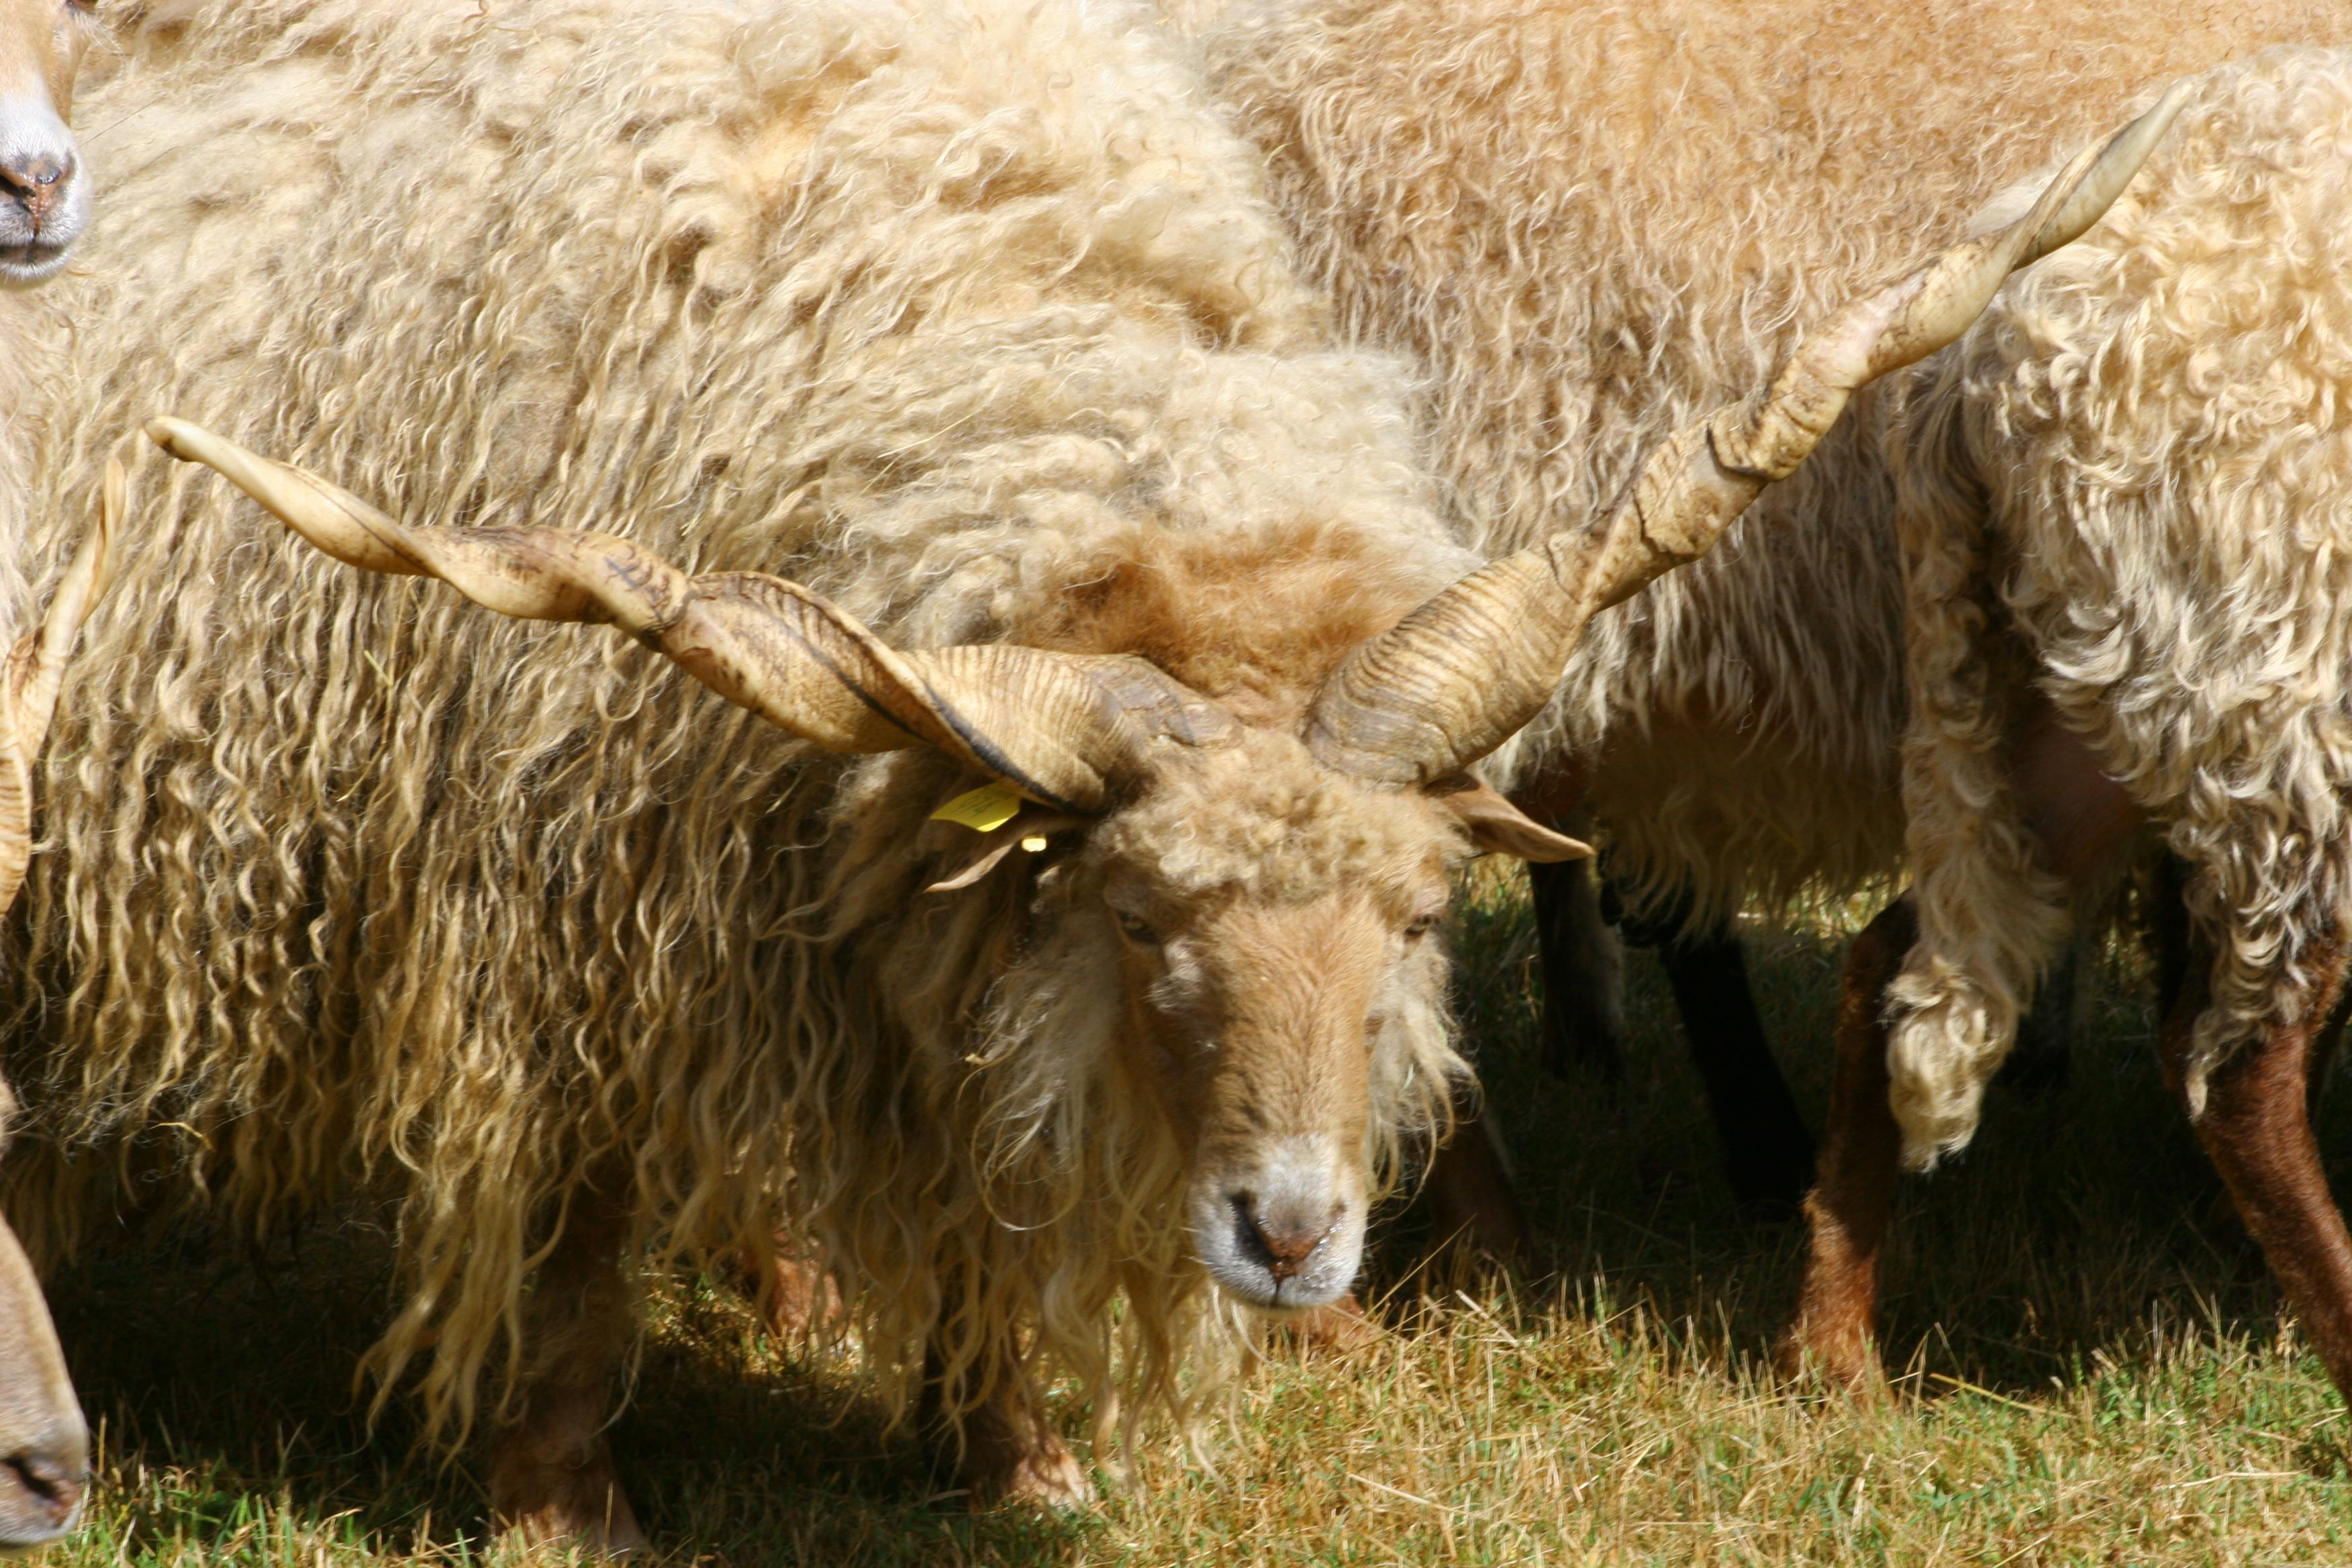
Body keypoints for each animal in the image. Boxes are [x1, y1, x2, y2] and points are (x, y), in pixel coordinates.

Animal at [11, 0, 2152, 1546]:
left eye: (1416, 916)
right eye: (1139, 913)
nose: (1294, 1236)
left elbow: (983, 1180)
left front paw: (1009, 1446)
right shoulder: (559, 887)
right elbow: (580, 1213)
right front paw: (564, 1499)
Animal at [1784, 46, 2352, 1405]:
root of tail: (1969, 363)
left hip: (2113, 674)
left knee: (1900, 956)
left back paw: (1834, 1362)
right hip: (2264, 664)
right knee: (2239, 1069)